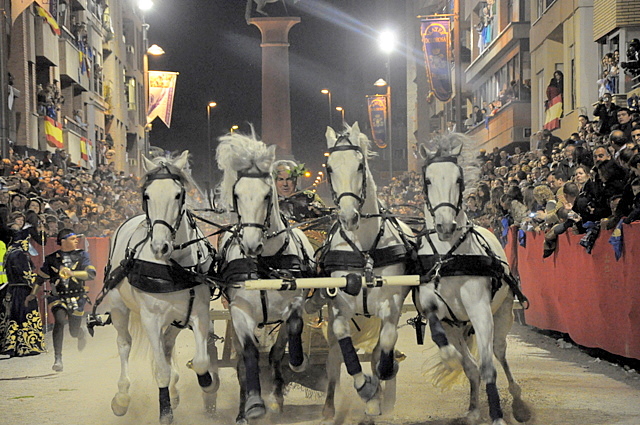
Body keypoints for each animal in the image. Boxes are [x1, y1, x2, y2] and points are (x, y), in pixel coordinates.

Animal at [102, 151, 218, 422]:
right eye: (147, 195)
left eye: (178, 194)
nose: (159, 246)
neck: (175, 267)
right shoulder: (151, 319)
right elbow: (161, 371)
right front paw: (165, 410)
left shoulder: (199, 313)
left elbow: (201, 361)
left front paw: (207, 384)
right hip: (118, 307)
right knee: (124, 344)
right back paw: (122, 397)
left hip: (177, 318)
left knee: (166, 344)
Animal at [215, 131, 316, 422]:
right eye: (237, 194)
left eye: (267, 194)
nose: (251, 243)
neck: (264, 263)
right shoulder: (239, 311)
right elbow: (249, 353)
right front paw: (254, 403)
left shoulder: (294, 301)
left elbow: (287, 336)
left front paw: (295, 366)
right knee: (239, 361)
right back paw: (242, 410)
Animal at [316, 121, 416, 422]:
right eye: (329, 168)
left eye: (360, 165)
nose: (349, 217)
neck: (363, 249)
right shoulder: (339, 307)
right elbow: (345, 351)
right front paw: (366, 390)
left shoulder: (391, 304)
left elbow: (385, 347)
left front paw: (379, 391)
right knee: (334, 359)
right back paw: (329, 407)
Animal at [416, 133, 528, 424]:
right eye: (428, 180)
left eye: (459, 179)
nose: (445, 226)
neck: (449, 258)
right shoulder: (436, 308)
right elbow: (451, 347)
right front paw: (449, 358)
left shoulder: (480, 310)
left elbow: (489, 367)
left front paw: (498, 415)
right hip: (457, 326)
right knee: (471, 366)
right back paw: (474, 409)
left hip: (502, 314)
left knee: (499, 353)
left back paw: (518, 403)